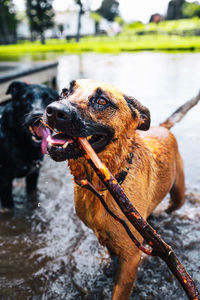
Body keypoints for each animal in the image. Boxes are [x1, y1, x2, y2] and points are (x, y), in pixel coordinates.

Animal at [43, 79, 185, 300]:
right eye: (65, 91)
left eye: (102, 101)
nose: (54, 111)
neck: (100, 188)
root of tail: (162, 127)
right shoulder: (110, 241)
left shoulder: (130, 258)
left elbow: (119, 293)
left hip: (178, 193)